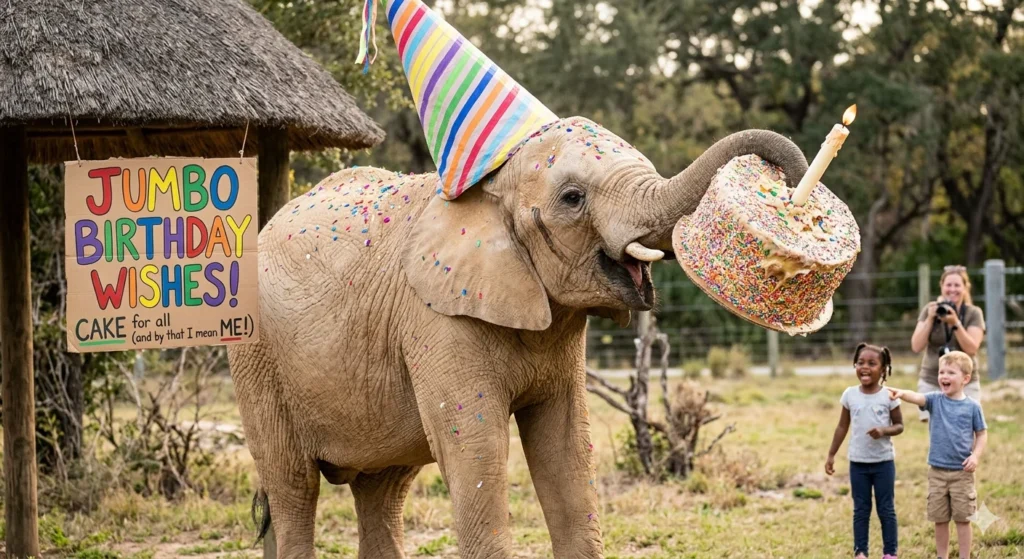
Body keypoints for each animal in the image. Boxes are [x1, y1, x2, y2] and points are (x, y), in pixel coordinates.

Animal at [227, 117, 808, 558]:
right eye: (572, 198)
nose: (785, 185)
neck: (490, 189)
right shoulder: (436, 318)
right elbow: (477, 454)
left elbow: (566, 449)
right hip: (257, 361)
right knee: (293, 486)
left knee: (382, 490)